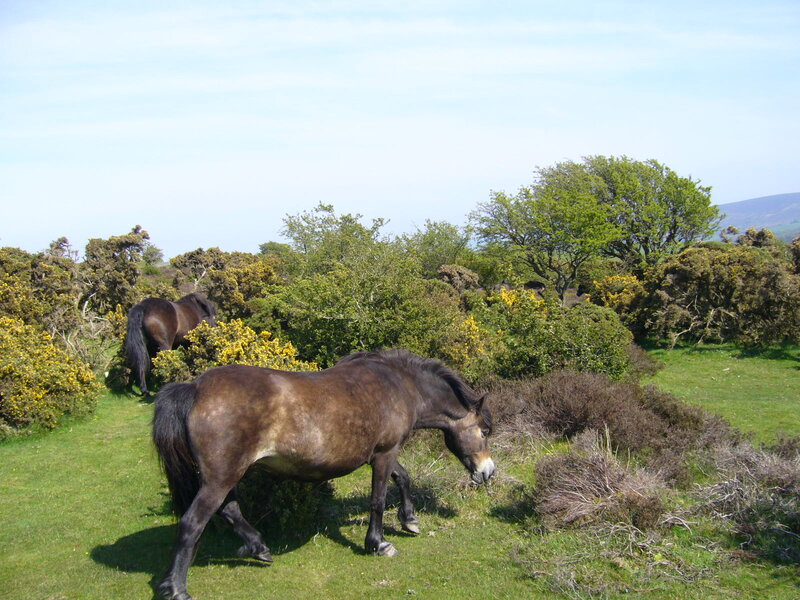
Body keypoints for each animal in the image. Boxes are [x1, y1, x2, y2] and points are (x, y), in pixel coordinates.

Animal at [152, 348, 495, 600]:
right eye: (484, 430)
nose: (488, 471)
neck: (399, 383)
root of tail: (195, 388)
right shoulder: (386, 453)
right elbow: (378, 499)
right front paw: (378, 543)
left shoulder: (377, 453)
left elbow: (403, 478)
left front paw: (409, 519)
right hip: (220, 479)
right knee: (193, 522)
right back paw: (177, 588)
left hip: (225, 477)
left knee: (230, 510)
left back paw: (259, 548)